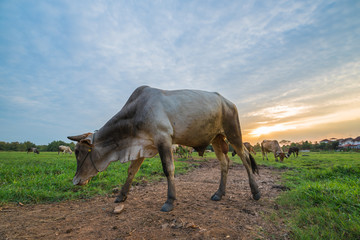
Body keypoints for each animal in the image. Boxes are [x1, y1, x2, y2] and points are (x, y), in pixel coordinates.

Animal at [67, 86, 260, 212]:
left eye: (79, 153)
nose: (75, 181)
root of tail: (228, 102)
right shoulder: (143, 145)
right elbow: (131, 171)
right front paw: (121, 195)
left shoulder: (164, 139)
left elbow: (168, 169)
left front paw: (170, 201)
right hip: (216, 138)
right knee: (225, 162)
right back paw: (219, 193)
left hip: (233, 132)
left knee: (244, 157)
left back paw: (256, 192)